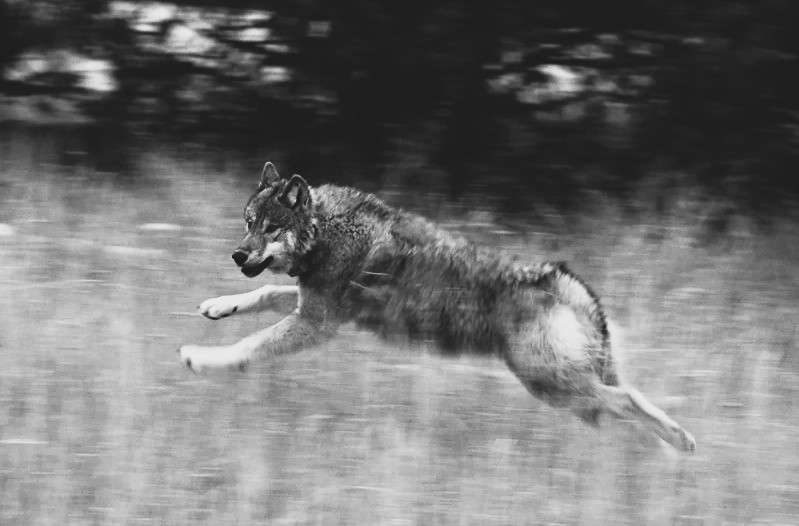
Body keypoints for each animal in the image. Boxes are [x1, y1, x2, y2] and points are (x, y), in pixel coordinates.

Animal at [178, 162, 696, 453]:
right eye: (248, 222)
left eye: (270, 228)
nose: (237, 255)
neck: (327, 230)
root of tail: (566, 281)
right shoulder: (312, 305)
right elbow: (261, 295)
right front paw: (217, 306)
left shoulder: (317, 322)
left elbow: (248, 346)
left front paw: (200, 359)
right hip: (564, 390)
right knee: (620, 404)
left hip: (550, 382)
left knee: (629, 400)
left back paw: (680, 445)